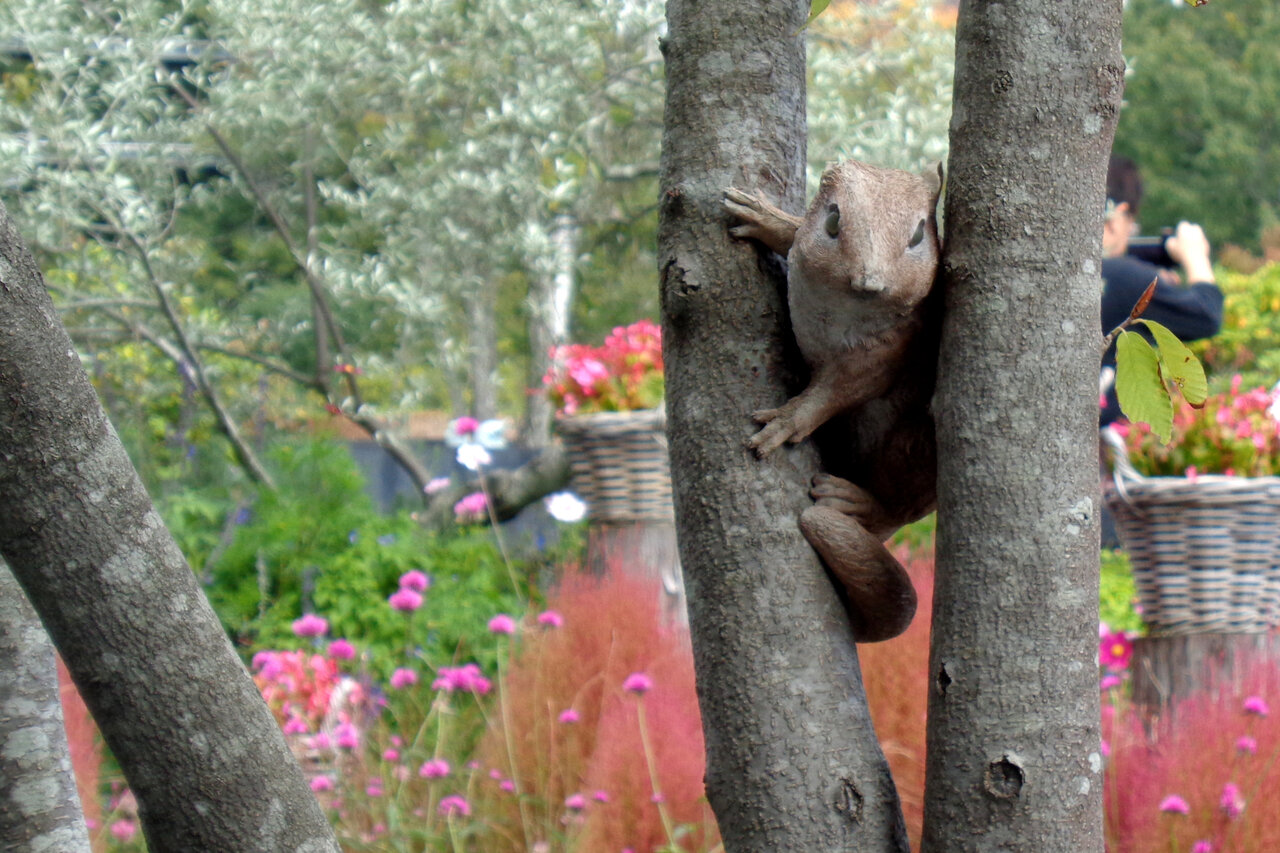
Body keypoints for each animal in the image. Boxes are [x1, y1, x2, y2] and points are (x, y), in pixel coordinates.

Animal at [727, 159, 947, 637]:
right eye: (831, 220)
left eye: (918, 236)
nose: (870, 282)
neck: (840, 309)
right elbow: (793, 238)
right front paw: (766, 218)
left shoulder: (890, 349)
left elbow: (836, 389)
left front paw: (784, 422)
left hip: (912, 452)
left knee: (895, 507)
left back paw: (855, 502)